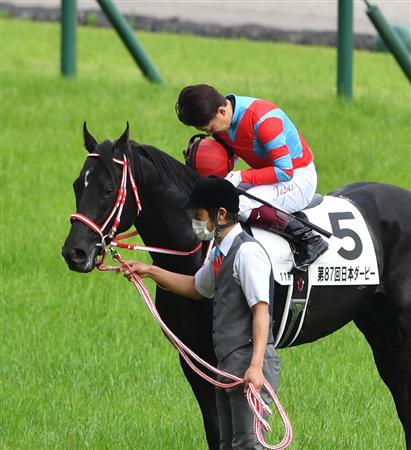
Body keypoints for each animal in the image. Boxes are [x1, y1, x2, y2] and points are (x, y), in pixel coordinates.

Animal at [62, 125, 411, 448]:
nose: (74, 252)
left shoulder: (227, 359)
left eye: (108, 189)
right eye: (78, 184)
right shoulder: (193, 357)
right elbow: (215, 430)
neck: (199, 249)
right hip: (380, 332)